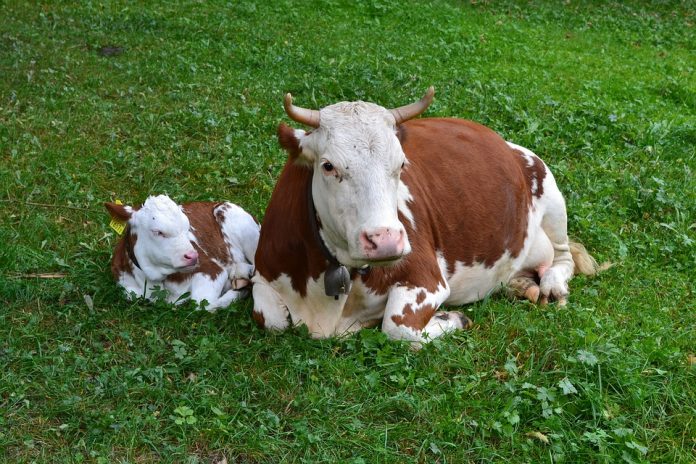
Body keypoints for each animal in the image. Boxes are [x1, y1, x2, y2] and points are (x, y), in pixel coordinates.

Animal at [105, 194, 260, 311]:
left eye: (187, 228)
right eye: (158, 231)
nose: (193, 256)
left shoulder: (213, 269)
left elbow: (200, 304)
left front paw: (238, 292)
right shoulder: (125, 286)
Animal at [252, 87, 598, 344]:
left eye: (401, 164)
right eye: (328, 166)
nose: (385, 241)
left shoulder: (426, 279)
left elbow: (398, 328)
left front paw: (453, 317)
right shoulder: (263, 272)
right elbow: (271, 319)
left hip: (551, 194)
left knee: (564, 257)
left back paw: (550, 284)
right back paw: (521, 285)